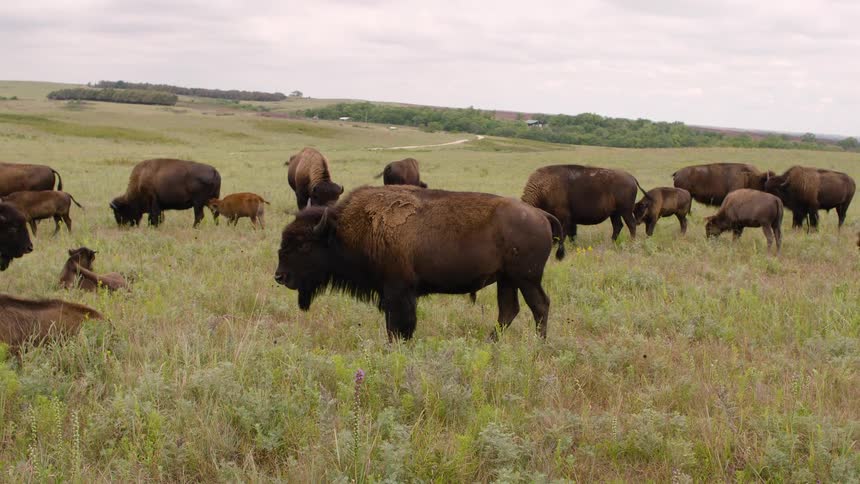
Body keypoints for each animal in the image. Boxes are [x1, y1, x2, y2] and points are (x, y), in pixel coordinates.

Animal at [274, 185, 565, 341]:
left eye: (303, 245)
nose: (280, 276)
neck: (343, 230)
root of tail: (540, 214)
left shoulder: (398, 292)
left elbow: (398, 326)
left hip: (526, 278)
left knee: (539, 306)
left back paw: (538, 344)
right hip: (507, 280)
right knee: (508, 311)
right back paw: (490, 343)